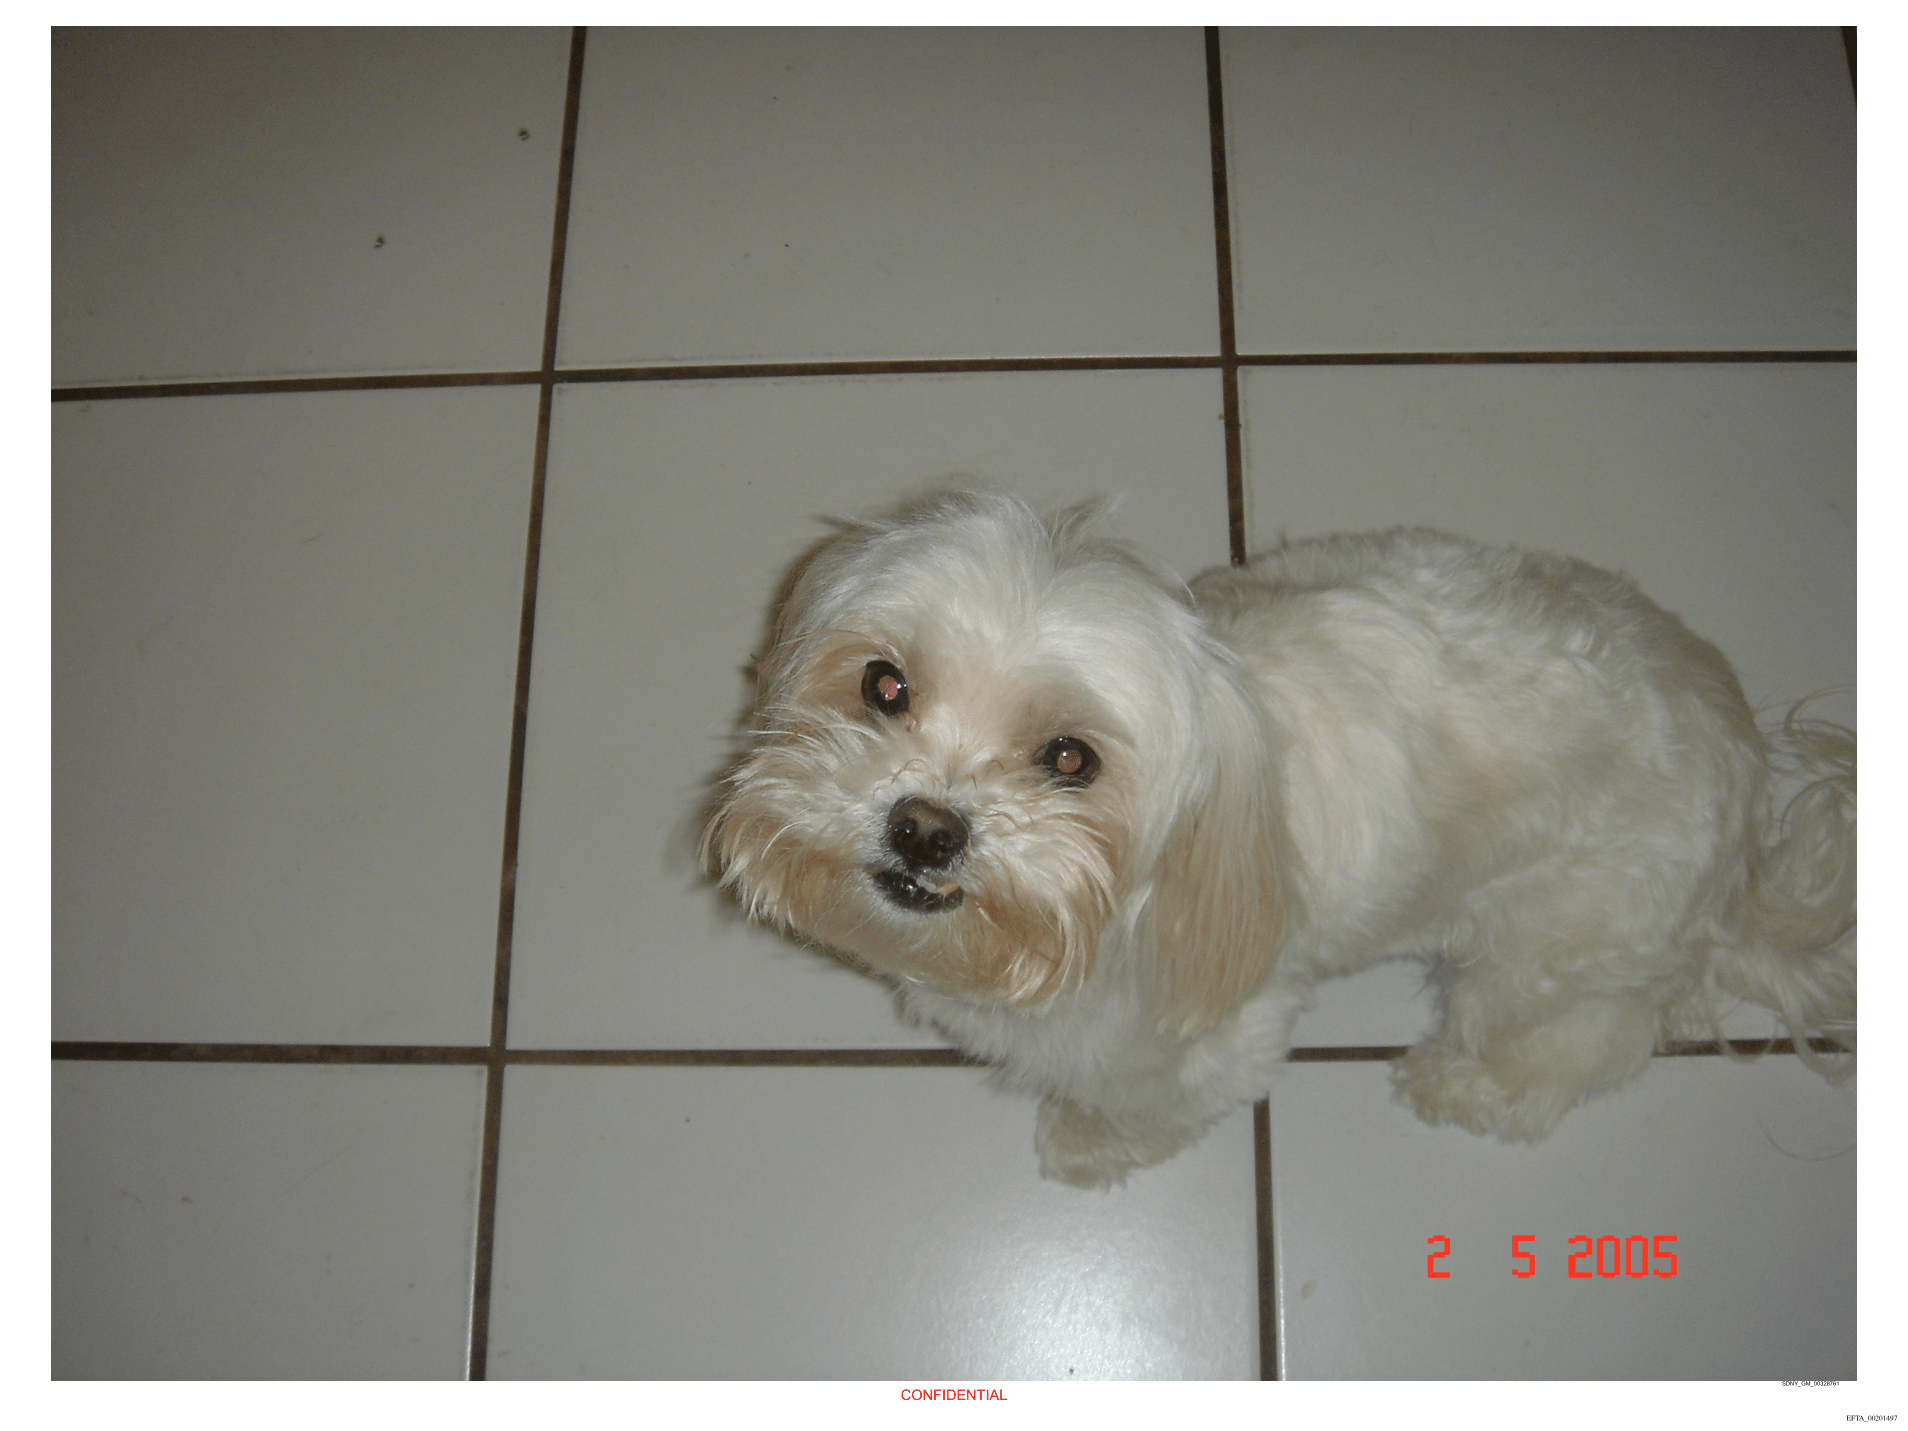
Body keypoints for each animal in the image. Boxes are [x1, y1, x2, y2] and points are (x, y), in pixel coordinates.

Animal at [705, 490, 1855, 1187]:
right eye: (884, 685)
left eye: (1070, 757)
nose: (925, 829)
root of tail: (1745, 773)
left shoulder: (1216, 1038)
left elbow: (1147, 1106)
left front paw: (1086, 1140)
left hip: (1553, 943)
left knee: (1587, 1042)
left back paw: (1461, 1082)